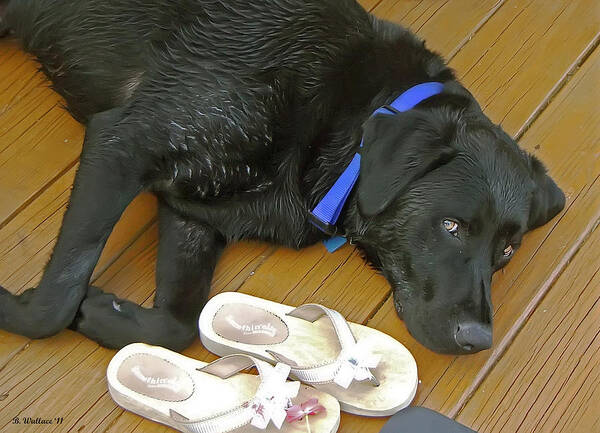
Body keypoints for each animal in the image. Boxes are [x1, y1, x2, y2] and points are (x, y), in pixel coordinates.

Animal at [0, 0, 564, 352]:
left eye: (506, 251)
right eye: (452, 227)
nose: (478, 342)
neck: (344, 111)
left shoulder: (193, 214)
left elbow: (178, 324)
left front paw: (102, 312)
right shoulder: (123, 144)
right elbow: (56, 298)